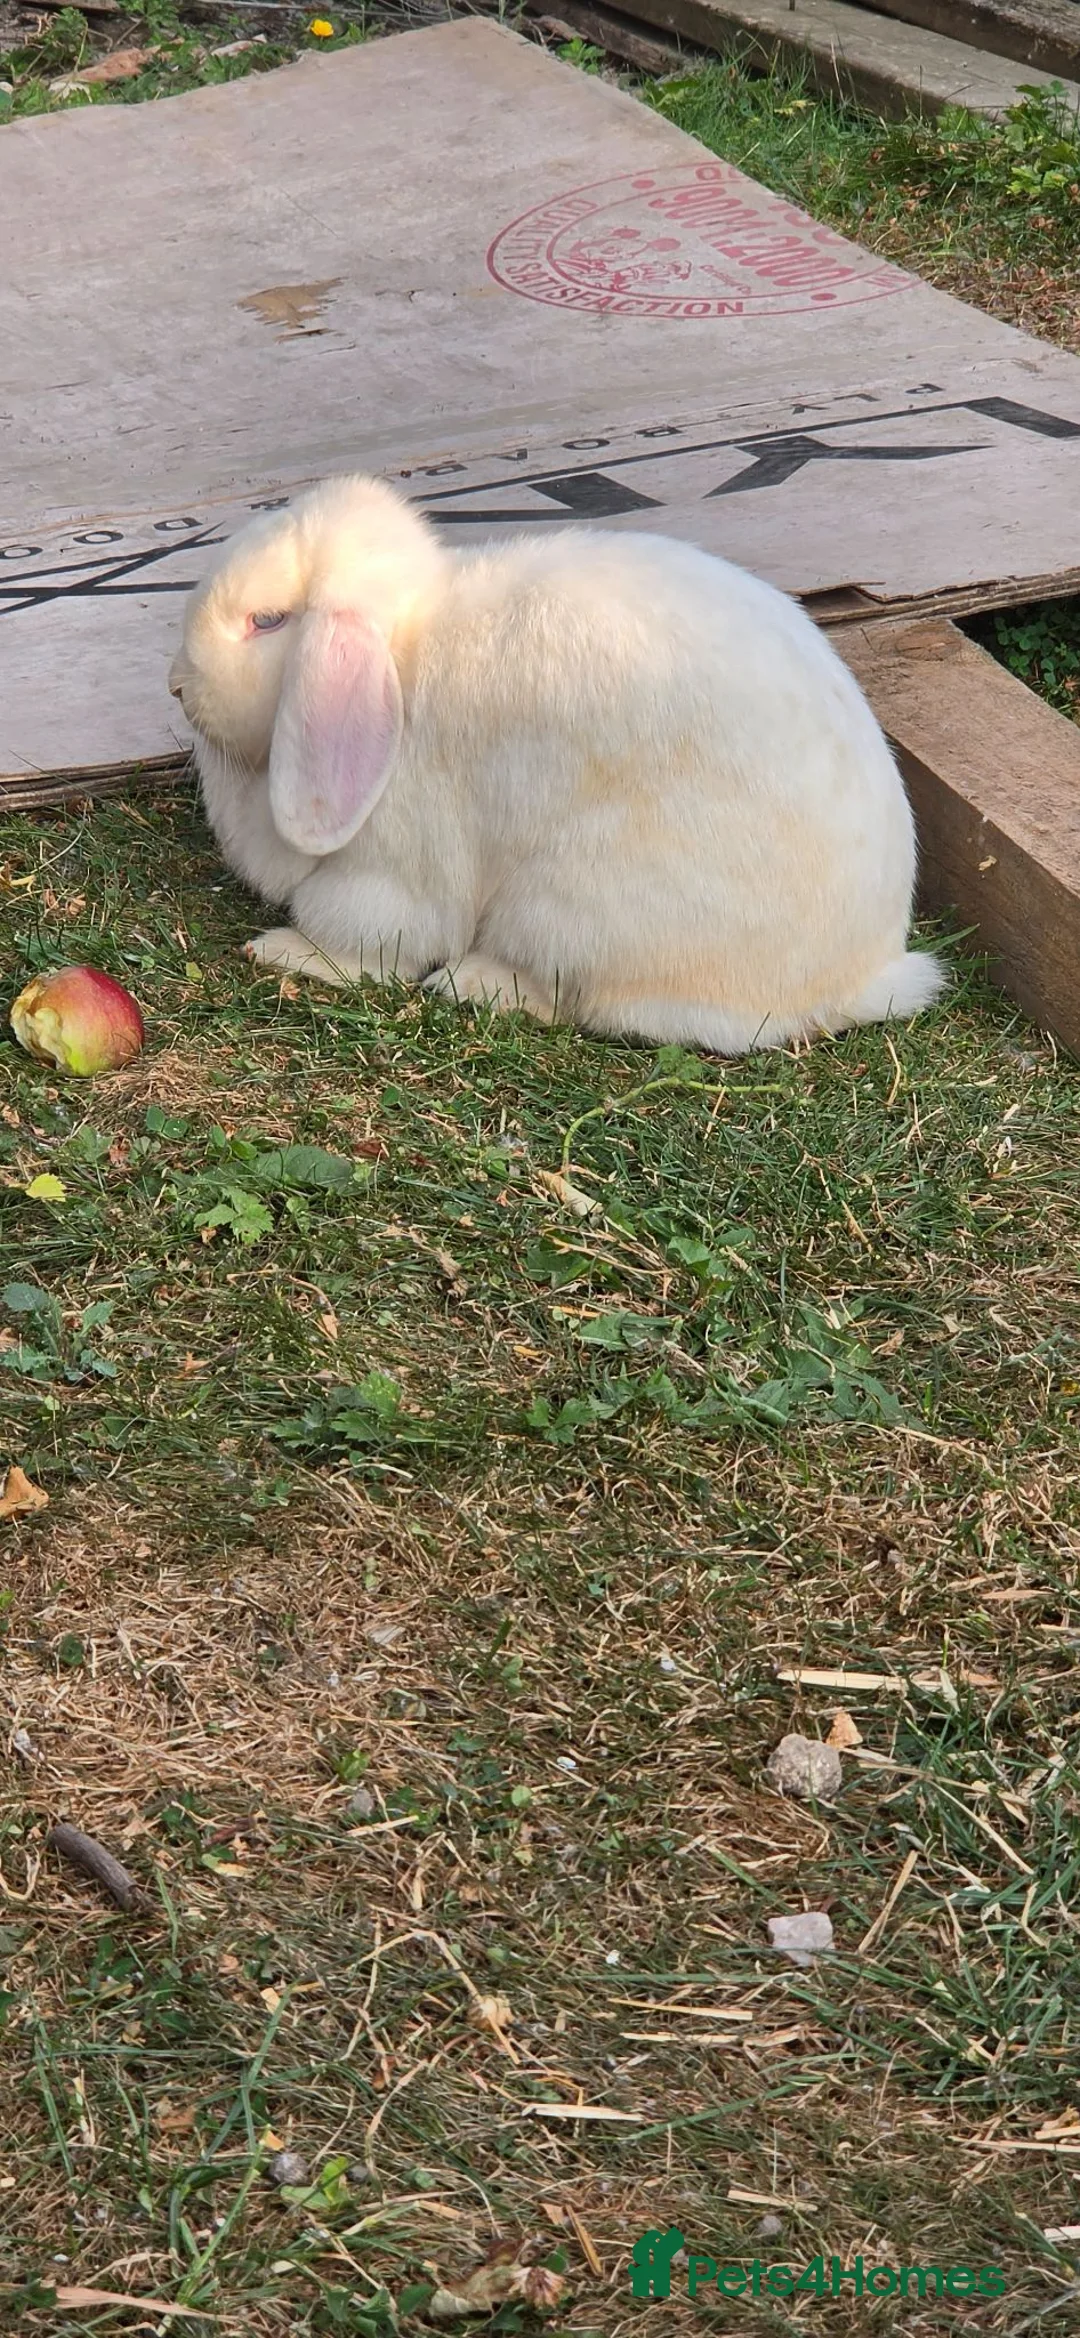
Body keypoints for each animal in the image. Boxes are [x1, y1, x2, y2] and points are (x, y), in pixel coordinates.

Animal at [168, 473, 945, 1053]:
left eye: (266, 621)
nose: (176, 685)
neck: (404, 654)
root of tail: (858, 980)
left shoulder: (389, 871)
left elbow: (368, 944)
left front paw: (284, 952)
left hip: (570, 910)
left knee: (576, 1000)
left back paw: (472, 982)